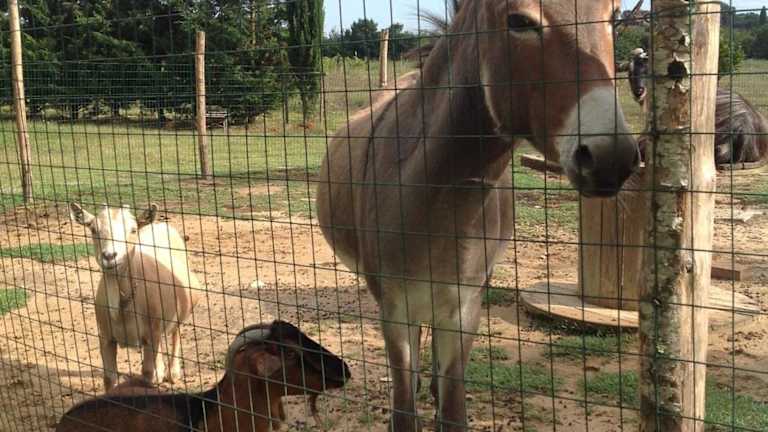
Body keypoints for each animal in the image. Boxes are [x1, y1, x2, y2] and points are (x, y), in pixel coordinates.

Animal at [70, 202, 201, 391]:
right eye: (93, 229)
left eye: (132, 230)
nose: (109, 256)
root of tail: (161, 225)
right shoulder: (106, 336)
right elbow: (109, 378)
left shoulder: (151, 332)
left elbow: (147, 373)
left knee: (176, 331)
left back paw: (173, 373)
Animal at [316, 1, 640, 431]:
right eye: (518, 21)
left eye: (614, 17)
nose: (612, 158)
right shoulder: (395, 309)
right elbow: (404, 409)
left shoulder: (465, 305)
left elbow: (453, 412)